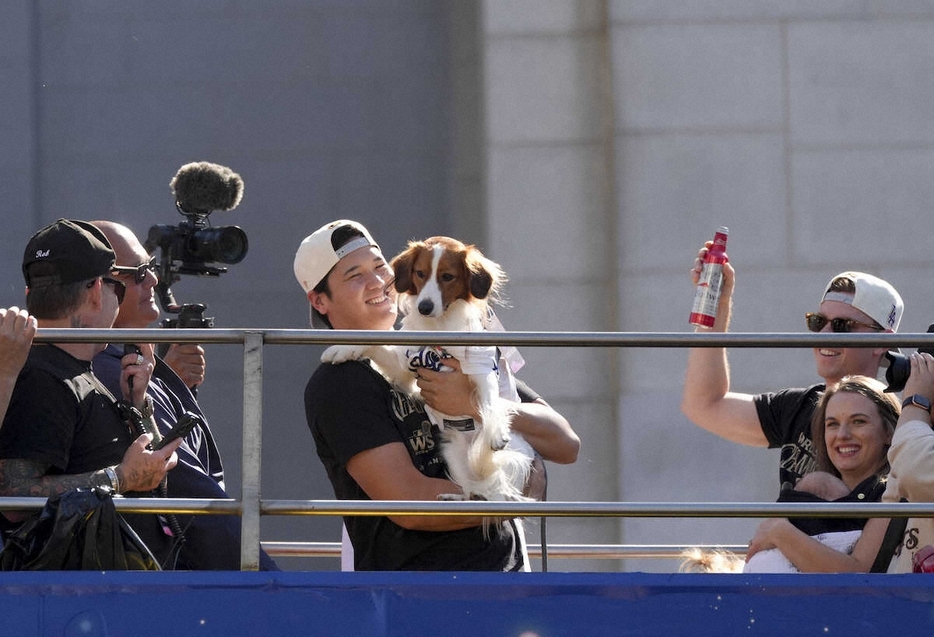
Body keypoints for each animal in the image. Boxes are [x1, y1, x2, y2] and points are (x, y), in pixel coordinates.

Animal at [324, 236, 532, 504]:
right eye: (420, 273)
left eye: (447, 276)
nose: (424, 306)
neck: (439, 328)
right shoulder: (403, 364)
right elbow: (374, 344)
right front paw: (342, 348)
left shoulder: (480, 365)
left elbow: (488, 402)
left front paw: (495, 432)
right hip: (452, 450)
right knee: (472, 488)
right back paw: (460, 497)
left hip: (514, 452)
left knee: (498, 493)